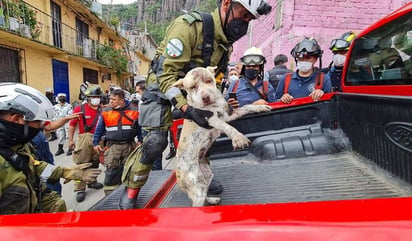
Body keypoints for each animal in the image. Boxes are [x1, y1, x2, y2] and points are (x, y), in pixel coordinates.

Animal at [172, 67, 272, 206]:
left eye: (209, 80)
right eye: (192, 87)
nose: (206, 97)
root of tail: (177, 174)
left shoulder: (229, 115)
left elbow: (247, 107)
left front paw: (260, 107)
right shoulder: (212, 119)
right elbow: (228, 128)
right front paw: (239, 139)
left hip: (206, 176)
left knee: (205, 193)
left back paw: (212, 199)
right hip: (197, 184)